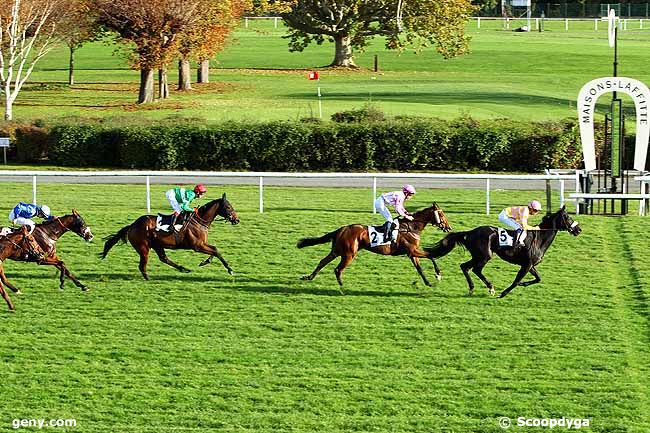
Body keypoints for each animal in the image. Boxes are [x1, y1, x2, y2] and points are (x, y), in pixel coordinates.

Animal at [102, 194, 239, 278]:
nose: (237, 220)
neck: (199, 221)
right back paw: (148, 278)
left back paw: (183, 269)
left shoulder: (202, 244)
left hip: (157, 245)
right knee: (142, 265)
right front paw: (230, 269)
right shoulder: (197, 246)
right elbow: (216, 251)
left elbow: (214, 249)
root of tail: (132, 225)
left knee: (164, 258)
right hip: (143, 247)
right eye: (228, 207)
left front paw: (205, 261)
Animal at [294, 202, 450, 286]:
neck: (411, 227)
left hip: (337, 251)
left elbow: (420, 268)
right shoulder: (412, 251)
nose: (448, 227)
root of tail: (342, 229)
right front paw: (438, 275)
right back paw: (342, 286)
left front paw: (429, 282)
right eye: (441, 214)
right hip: (349, 254)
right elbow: (431, 255)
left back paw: (308, 277)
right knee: (337, 269)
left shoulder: (411, 253)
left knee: (323, 261)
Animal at [428, 206, 580, 296]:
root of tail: (470, 232)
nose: (579, 229)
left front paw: (524, 284)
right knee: (473, 269)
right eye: (568, 217)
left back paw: (474, 288)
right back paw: (489, 287)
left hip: (479, 256)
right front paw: (504, 293)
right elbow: (517, 280)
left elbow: (538, 278)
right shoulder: (526, 265)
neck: (539, 238)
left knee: (465, 267)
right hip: (484, 255)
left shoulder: (530, 265)